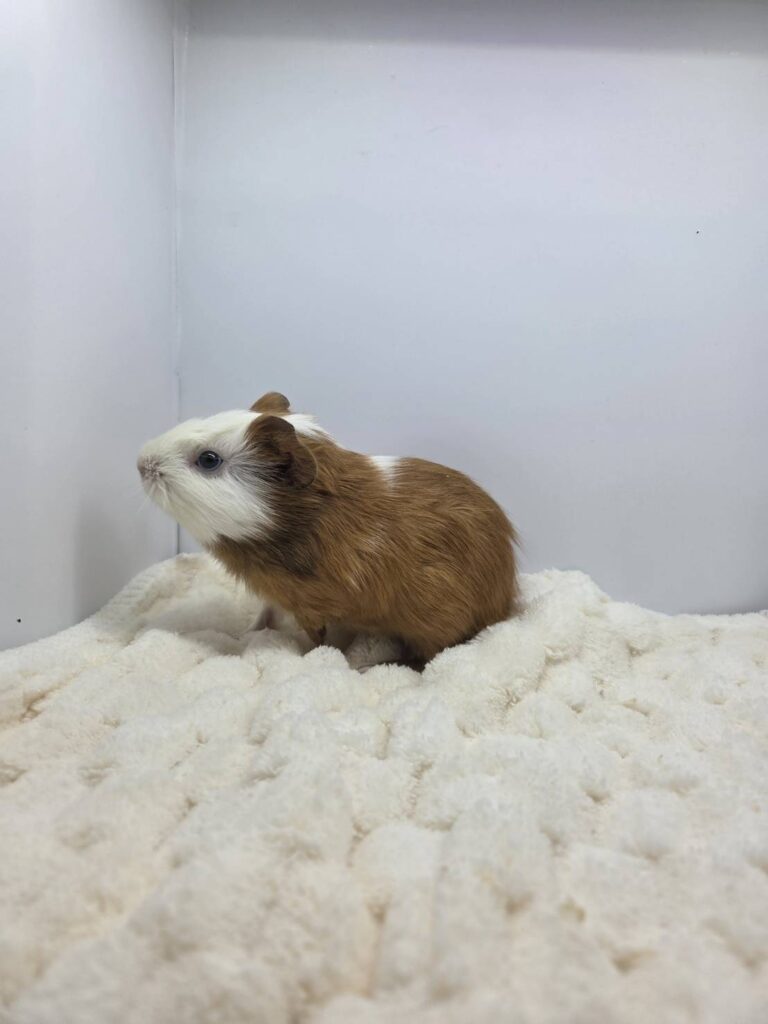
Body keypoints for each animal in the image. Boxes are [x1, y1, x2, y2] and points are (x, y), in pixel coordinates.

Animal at [138, 392, 521, 666]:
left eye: (208, 460)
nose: (141, 462)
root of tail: (505, 600)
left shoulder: (311, 606)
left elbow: (317, 638)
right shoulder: (276, 594)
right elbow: (267, 612)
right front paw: (251, 632)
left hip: (436, 627)